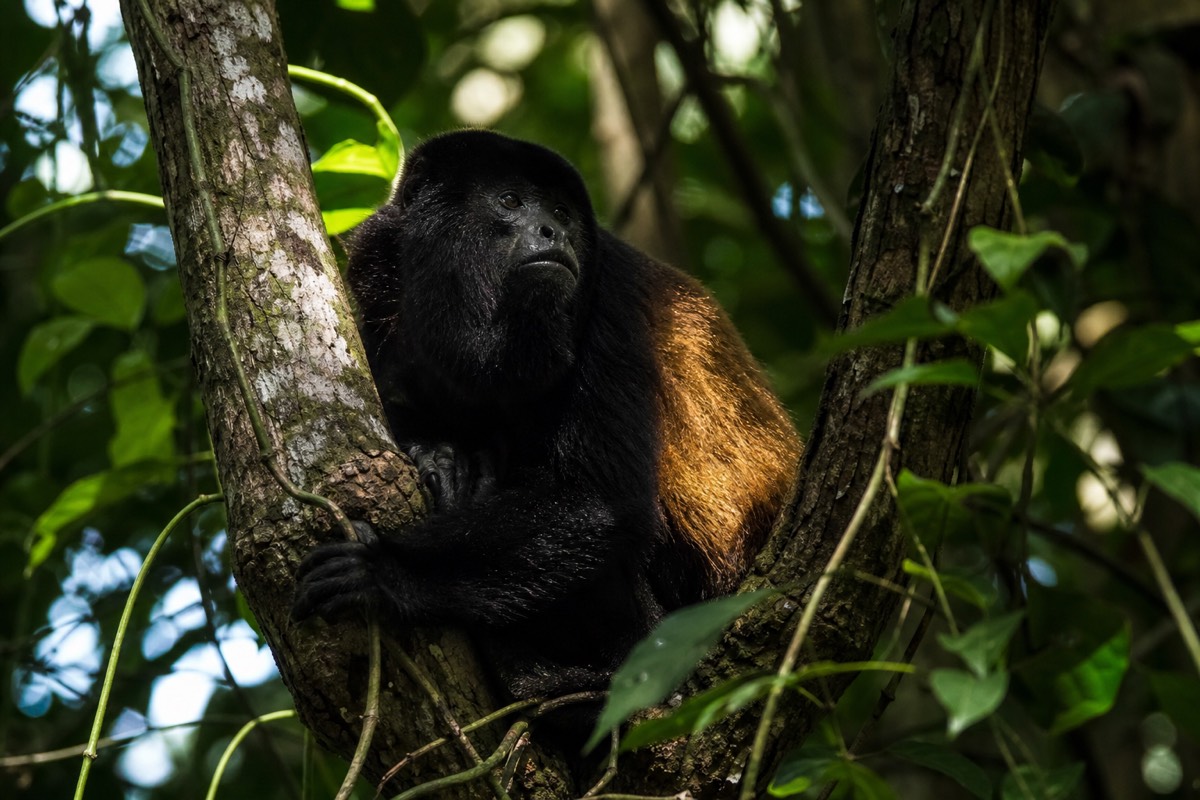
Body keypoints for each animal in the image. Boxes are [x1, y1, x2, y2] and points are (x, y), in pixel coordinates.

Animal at [292, 129, 801, 731]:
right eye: (511, 200)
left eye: (561, 212)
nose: (553, 232)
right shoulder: (373, 279)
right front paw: (438, 454)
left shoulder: (609, 303)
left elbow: (600, 501)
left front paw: (385, 571)